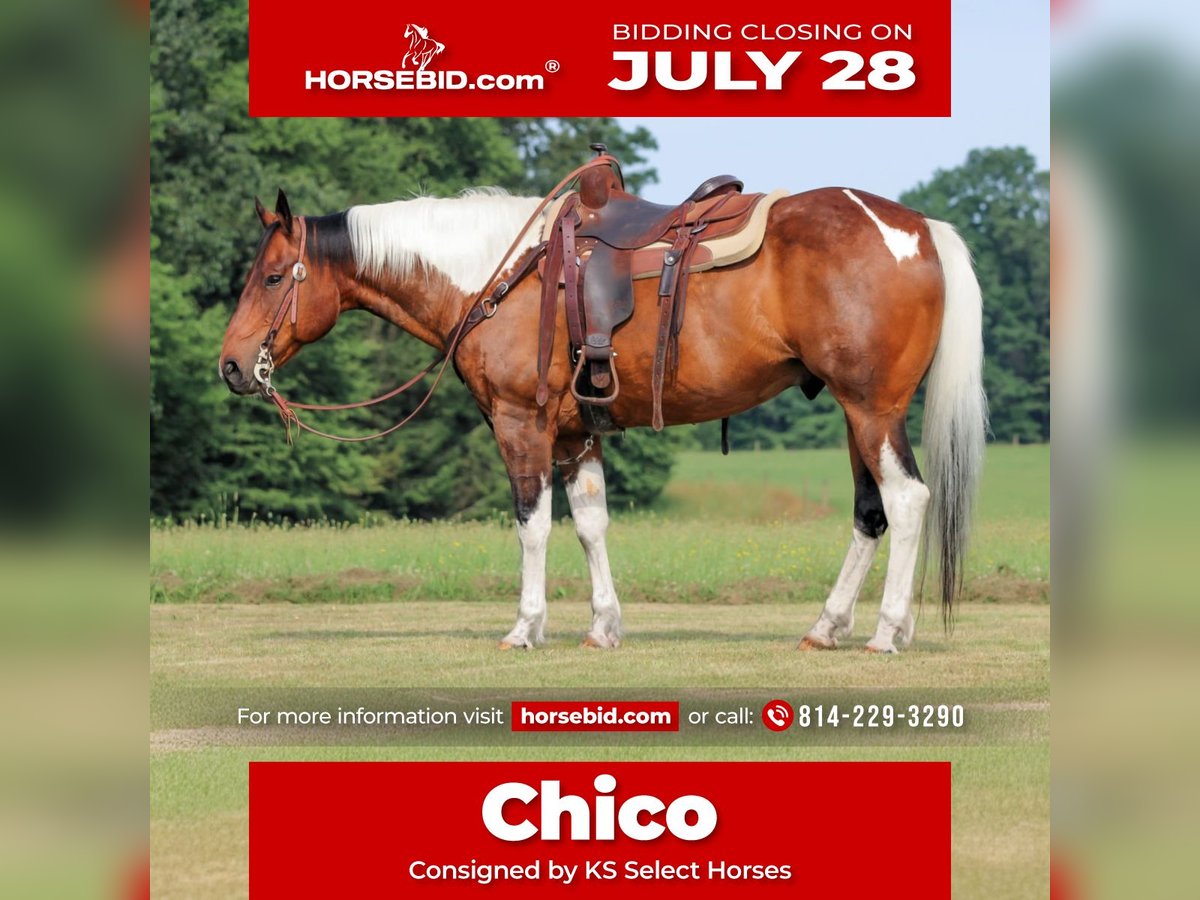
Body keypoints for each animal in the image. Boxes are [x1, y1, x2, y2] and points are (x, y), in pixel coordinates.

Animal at [219, 170, 987, 654]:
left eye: (270, 277)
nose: (230, 365)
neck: (503, 275)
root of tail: (918, 227)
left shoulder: (521, 424)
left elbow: (532, 525)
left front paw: (526, 627)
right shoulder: (575, 434)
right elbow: (591, 523)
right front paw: (603, 627)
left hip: (872, 409)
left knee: (908, 501)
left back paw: (887, 631)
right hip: (858, 415)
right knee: (871, 513)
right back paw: (828, 626)